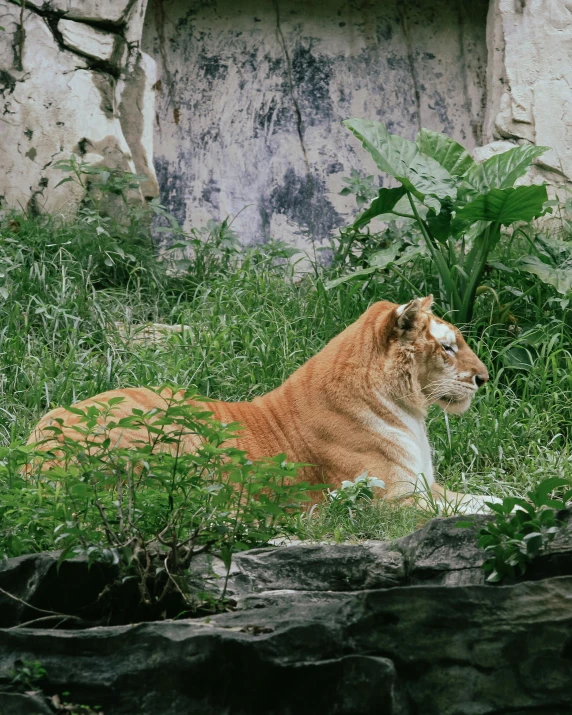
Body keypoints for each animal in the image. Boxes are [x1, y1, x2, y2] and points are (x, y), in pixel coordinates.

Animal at [26, 296, 494, 516]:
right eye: (448, 347)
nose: (484, 378)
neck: (411, 412)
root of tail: (31, 454)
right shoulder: (388, 499)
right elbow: (461, 509)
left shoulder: (423, 485)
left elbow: (481, 497)